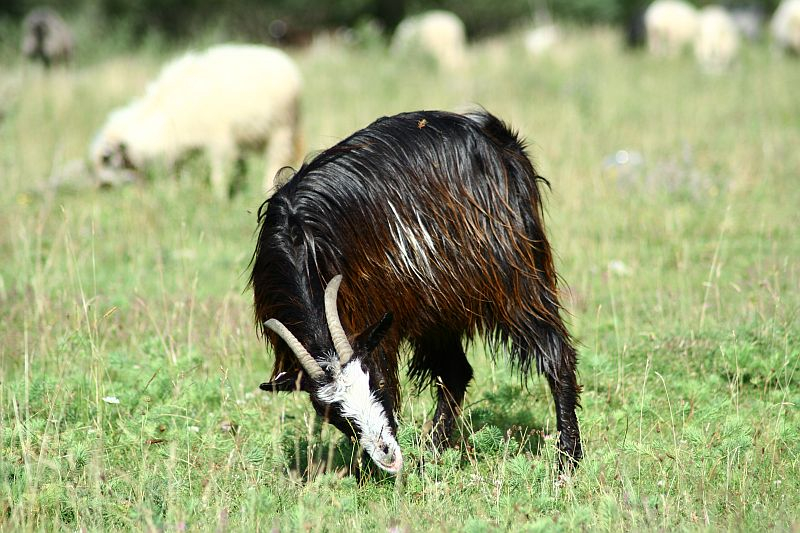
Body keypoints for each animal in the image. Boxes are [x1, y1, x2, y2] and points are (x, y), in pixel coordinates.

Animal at [90, 44, 302, 199]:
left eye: (106, 159)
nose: (101, 188)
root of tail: (284, 60)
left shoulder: (219, 139)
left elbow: (218, 172)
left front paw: (219, 196)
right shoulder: (178, 146)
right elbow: (176, 171)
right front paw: (176, 193)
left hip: (281, 129)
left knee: (275, 160)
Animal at [250, 110, 581, 474]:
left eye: (376, 383)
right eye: (334, 414)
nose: (388, 457)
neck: (300, 245)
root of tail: (495, 137)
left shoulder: (373, 319)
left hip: (513, 279)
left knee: (556, 354)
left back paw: (567, 461)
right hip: (434, 305)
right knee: (455, 371)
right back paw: (433, 453)